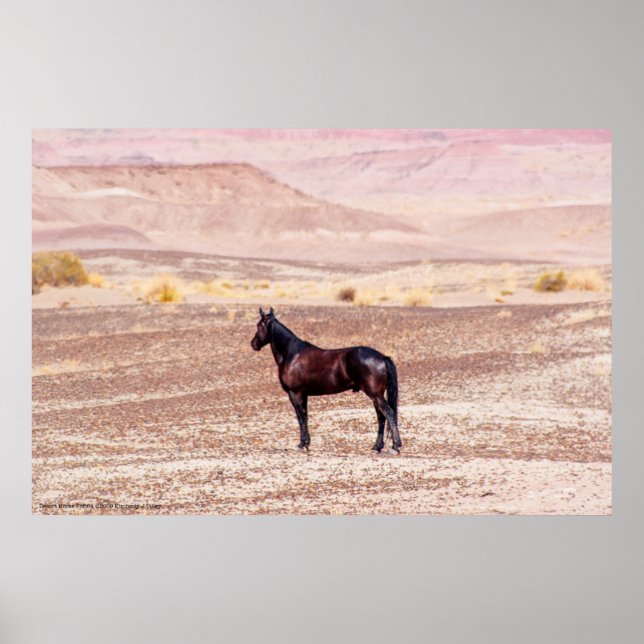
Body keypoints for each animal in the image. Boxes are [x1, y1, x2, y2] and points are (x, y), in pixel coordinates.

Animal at [250, 307, 401, 453]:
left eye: (259, 325)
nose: (253, 344)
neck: (292, 354)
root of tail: (382, 357)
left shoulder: (295, 393)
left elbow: (300, 417)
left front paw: (301, 444)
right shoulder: (303, 395)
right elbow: (305, 416)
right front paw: (306, 444)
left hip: (375, 395)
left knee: (388, 413)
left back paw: (395, 447)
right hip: (376, 396)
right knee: (381, 417)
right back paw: (377, 447)